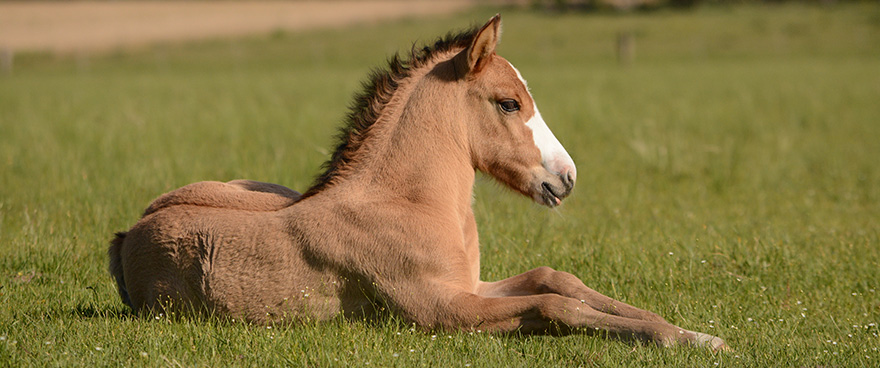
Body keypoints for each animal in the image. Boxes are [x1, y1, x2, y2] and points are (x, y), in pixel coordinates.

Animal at [111, 15, 728, 350]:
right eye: (508, 103)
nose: (567, 177)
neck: (409, 205)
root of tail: (127, 233)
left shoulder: (471, 286)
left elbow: (558, 280)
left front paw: (693, 333)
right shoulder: (441, 310)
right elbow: (557, 306)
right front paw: (680, 339)